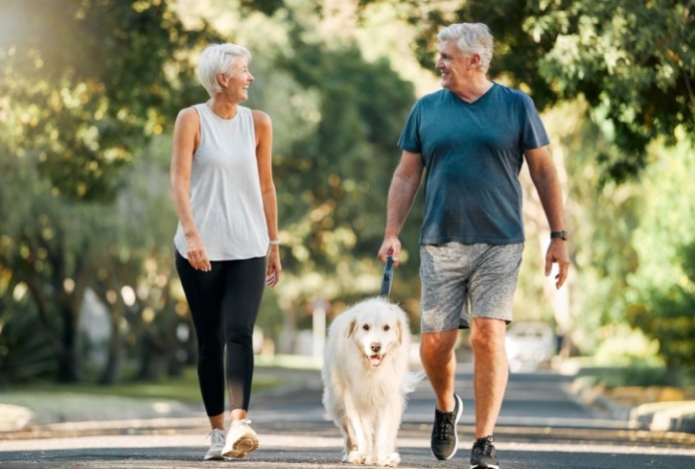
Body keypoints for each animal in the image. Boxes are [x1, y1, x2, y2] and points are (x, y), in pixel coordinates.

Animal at [324, 296, 422, 464]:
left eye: (386, 327)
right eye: (365, 327)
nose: (375, 346)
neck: (373, 371)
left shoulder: (388, 398)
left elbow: (384, 432)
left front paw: (384, 457)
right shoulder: (355, 398)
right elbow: (362, 431)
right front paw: (363, 455)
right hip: (337, 402)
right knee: (348, 430)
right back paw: (352, 451)